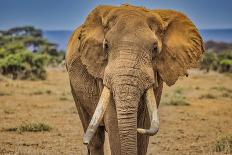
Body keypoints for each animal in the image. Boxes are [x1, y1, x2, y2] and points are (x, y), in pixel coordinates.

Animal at [65, 3, 203, 155]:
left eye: (155, 48)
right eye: (106, 46)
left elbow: (145, 125)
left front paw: (139, 129)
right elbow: (114, 123)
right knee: (95, 139)